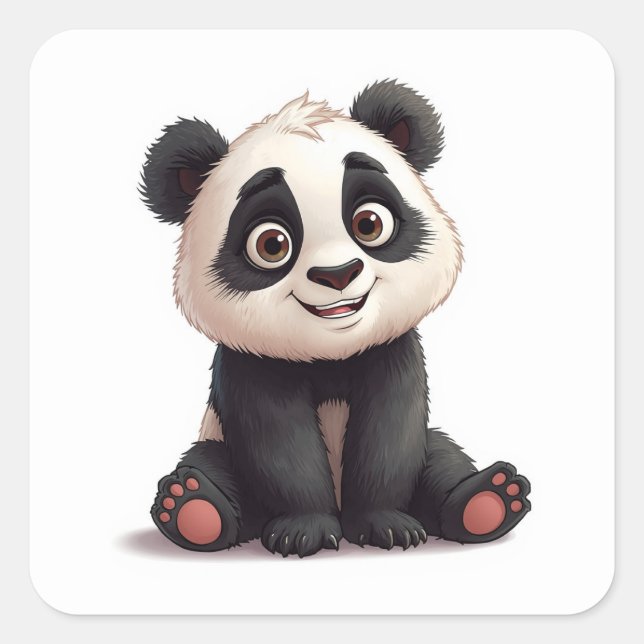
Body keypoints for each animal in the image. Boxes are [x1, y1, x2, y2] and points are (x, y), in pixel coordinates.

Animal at [140, 79, 531, 557]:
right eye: (272, 244)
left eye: (369, 223)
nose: (337, 274)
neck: (331, 354)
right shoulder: (251, 363)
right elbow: (279, 442)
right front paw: (304, 529)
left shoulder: (392, 349)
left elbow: (390, 432)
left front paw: (384, 524)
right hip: (217, 444)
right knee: (207, 463)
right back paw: (192, 509)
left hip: (434, 448)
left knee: (442, 455)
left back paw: (489, 501)